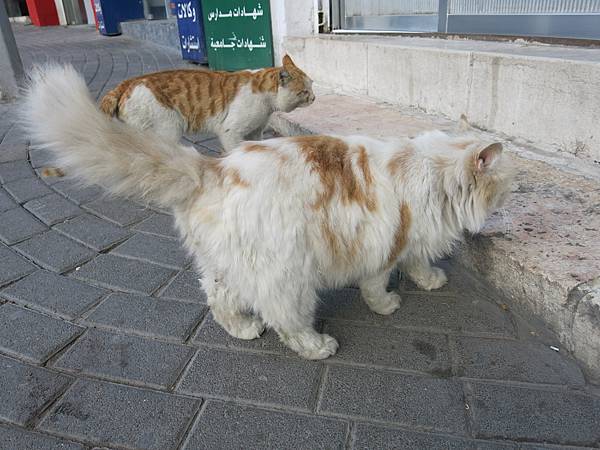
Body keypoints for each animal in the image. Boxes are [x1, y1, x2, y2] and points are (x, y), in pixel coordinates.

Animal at [22, 67, 510, 360]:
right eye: (509, 181)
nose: (513, 194)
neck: (429, 170)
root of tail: (212, 168)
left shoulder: (407, 239)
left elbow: (418, 261)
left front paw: (428, 280)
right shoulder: (381, 246)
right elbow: (378, 284)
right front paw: (389, 304)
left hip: (230, 266)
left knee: (219, 299)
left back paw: (241, 329)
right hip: (289, 277)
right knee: (286, 321)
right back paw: (316, 345)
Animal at [99, 54, 314, 149]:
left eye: (312, 85)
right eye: (304, 91)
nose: (314, 97)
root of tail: (128, 82)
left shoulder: (255, 132)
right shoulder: (231, 132)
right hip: (169, 128)